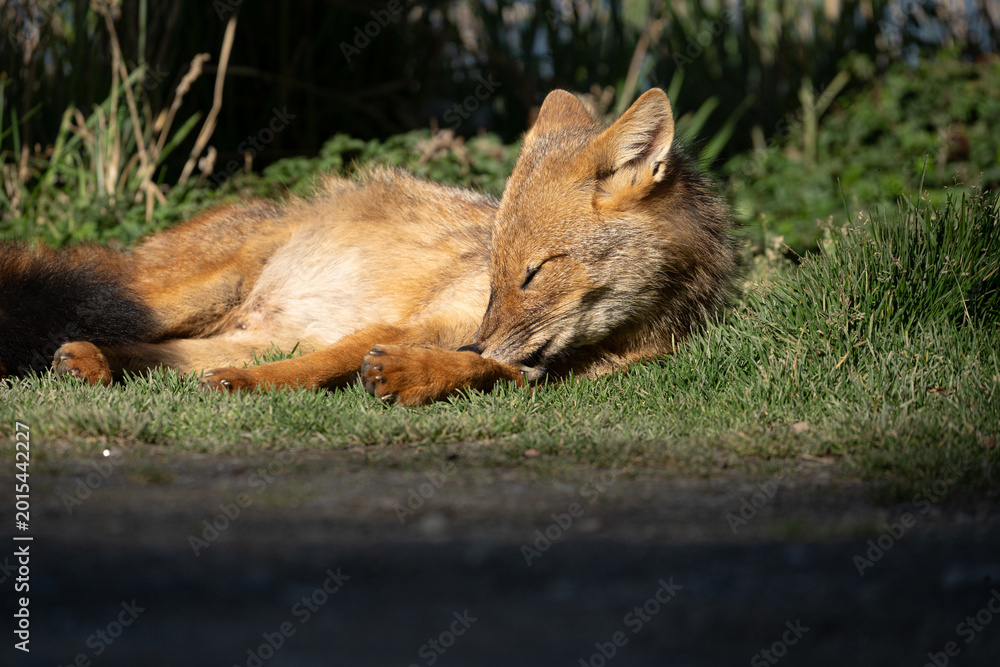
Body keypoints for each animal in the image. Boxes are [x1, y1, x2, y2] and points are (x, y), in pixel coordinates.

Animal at [0, 88, 737, 405]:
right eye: (496, 268)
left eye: (531, 273)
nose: (479, 339)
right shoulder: (424, 320)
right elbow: (331, 362)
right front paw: (252, 387)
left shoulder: (531, 369)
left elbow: (486, 373)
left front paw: (420, 375)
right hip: (162, 299)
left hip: (241, 331)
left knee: (155, 358)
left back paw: (96, 364)